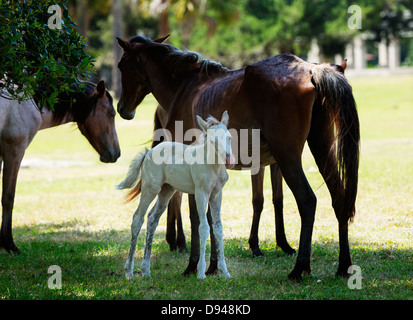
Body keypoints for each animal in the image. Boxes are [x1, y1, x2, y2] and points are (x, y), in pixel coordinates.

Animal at [0, 80, 120, 252]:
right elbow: (8, 198)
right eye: (111, 114)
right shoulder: (14, 151)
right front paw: (9, 244)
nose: (117, 153)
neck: (27, 101)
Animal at [117, 110, 233, 280]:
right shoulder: (201, 193)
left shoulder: (217, 194)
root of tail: (148, 152)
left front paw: (225, 272)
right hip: (150, 188)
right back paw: (129, 271)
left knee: (152, 219)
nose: (229, 159)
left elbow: (218, 228)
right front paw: (201, 273)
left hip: (167, 190)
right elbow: (204, 227)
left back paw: (146, 270)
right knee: (138, 218)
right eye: (212, 141)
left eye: (229, 137)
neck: (213, 166)